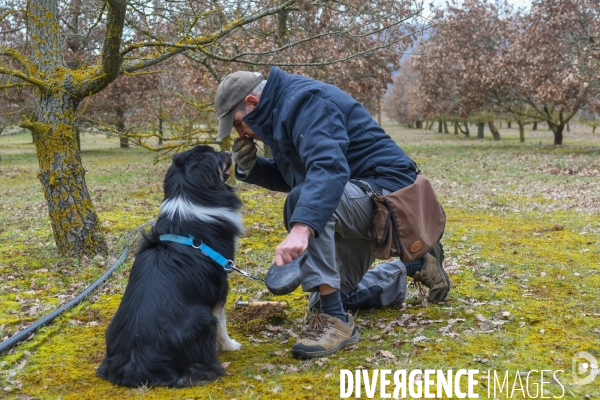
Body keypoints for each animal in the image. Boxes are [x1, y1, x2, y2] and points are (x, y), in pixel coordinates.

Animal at [97, 146, 243, 388]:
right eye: (216, 154)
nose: (229, 151)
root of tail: (134, 364)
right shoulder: (219, 284)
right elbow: (222, 321)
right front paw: (230, 346)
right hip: (203, 321)